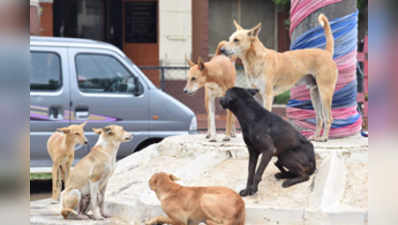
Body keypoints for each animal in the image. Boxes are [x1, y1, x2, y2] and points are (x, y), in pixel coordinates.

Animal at [222, 13, 338, 141]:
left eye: (236, 40)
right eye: (230, 39)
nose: (222, 50)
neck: (256, 60)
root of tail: (326, 53)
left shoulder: (268, 95)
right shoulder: (257, 95)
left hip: (325, 92)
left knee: (328, 118)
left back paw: (324, 137)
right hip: (314, 93)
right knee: (319, 118)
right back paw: (316, 136)